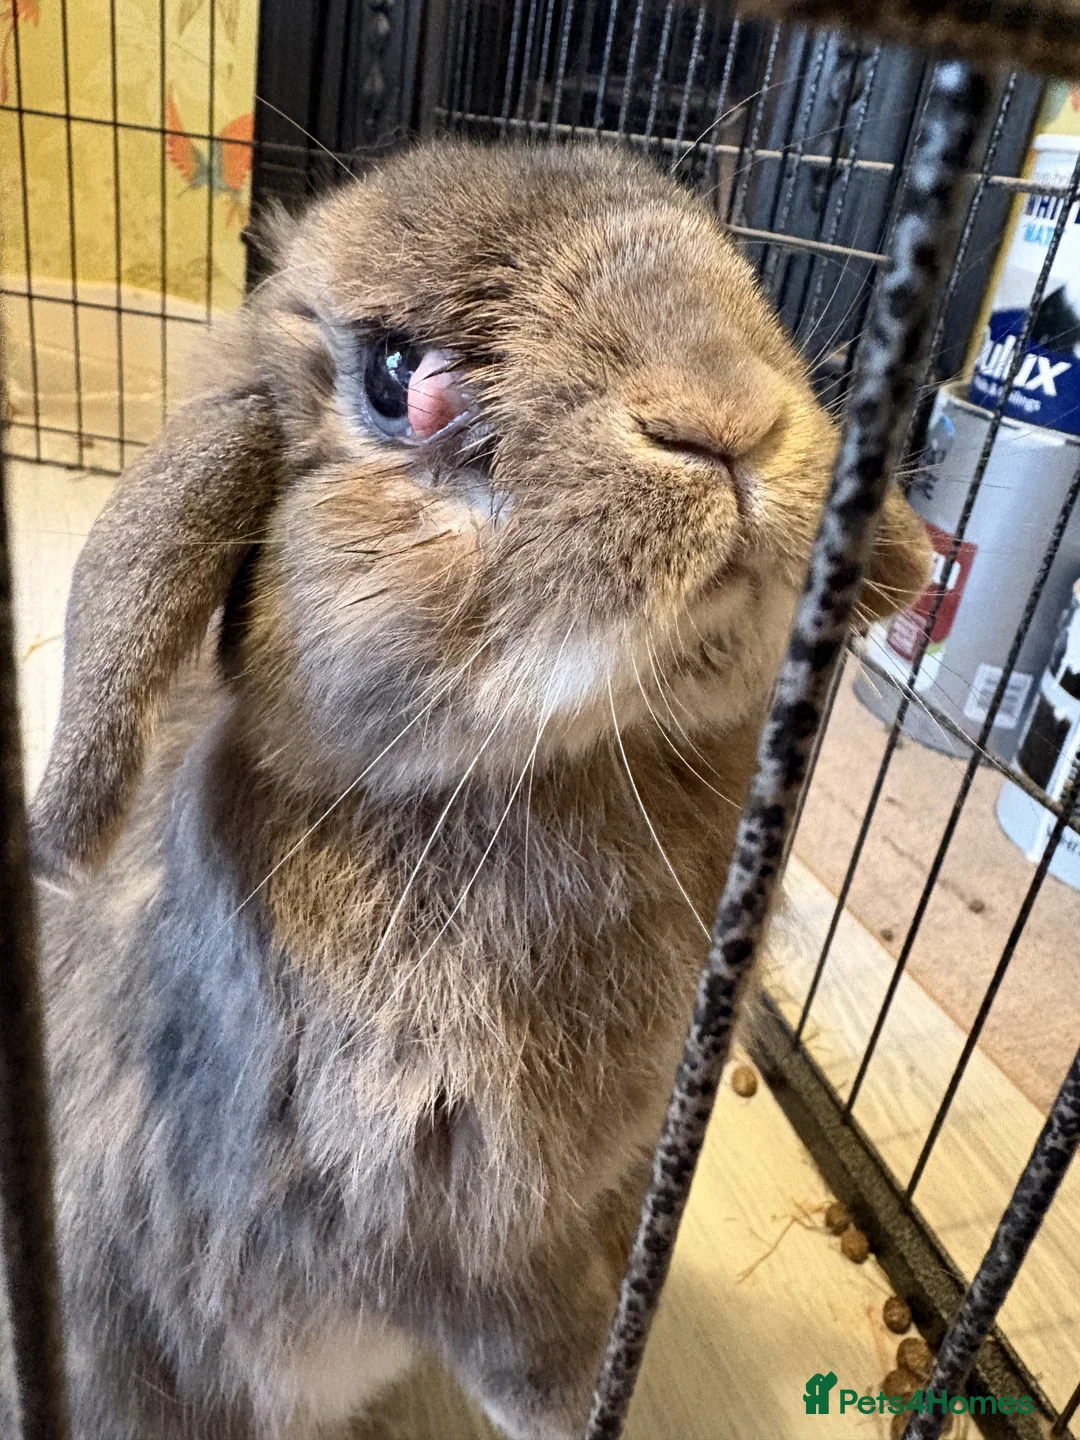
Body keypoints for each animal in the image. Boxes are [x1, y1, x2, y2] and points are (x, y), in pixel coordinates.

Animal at [22, 139, 931, 1440]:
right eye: (399, 378)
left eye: (729, 264)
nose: (731, 419)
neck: (572, 771)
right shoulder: (450, 1226)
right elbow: (529, 1347)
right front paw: (592, 1402)